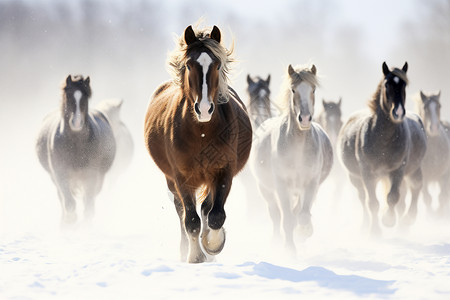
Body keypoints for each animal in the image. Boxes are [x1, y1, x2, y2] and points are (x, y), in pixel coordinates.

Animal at [36, 75, 116, 225]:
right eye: (68, 96)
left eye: (86, 97)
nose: (77, 123)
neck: (76, 145)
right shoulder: (60, 173)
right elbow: (69, 203)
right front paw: (70, 222)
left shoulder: (91, 174)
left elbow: (88, 203)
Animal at [144, 24, 251, 262]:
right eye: (188, 64)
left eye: (217, 64)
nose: (203, 109)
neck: (202, 132)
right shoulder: (182, 177)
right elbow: (191, 220)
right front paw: (195, 257)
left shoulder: (223, 171)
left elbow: (216, 215)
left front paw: (212, 246)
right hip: (172, 181)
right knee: (183, 211)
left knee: (207, 209)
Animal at [250, 64, 334, 252]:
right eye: (293, 90)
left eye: (313, 89)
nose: (305, 119)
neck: (298, 148)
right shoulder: (282, 185)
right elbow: (287, 218)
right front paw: (290, 250)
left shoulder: (311, 184)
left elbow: (302, 215)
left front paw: (303, 232)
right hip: (265, 189)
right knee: (275, 214)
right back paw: (276, 241)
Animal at [340, 62, 428, 237]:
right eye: (387, 84)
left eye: (404, 84)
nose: (398, 112)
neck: (383, 139)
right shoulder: (367, 173)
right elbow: (372, 202)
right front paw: (375, 231)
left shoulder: (398, 170)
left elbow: (393, 197)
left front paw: (388, 220)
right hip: (356, 178)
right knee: (362, 198)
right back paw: (365, 225)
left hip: (413, 170)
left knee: (416, 188)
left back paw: (407, 221)